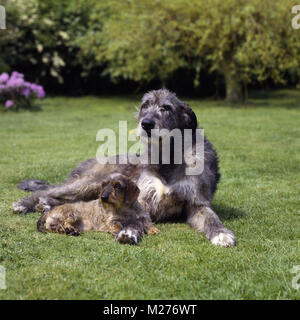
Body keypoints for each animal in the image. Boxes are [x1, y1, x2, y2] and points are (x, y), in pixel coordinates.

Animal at [13, 89, 234, 246]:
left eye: (166, 108)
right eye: (144, 106)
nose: (146, 124)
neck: (167, 158)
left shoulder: (196, 201)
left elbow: (211, 217)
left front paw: (221, 233)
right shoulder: (142, 198)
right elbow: (135, 219)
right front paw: (129, 232)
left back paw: (45, 205)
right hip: (91, 181)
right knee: (50, 190)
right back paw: (27, 203)